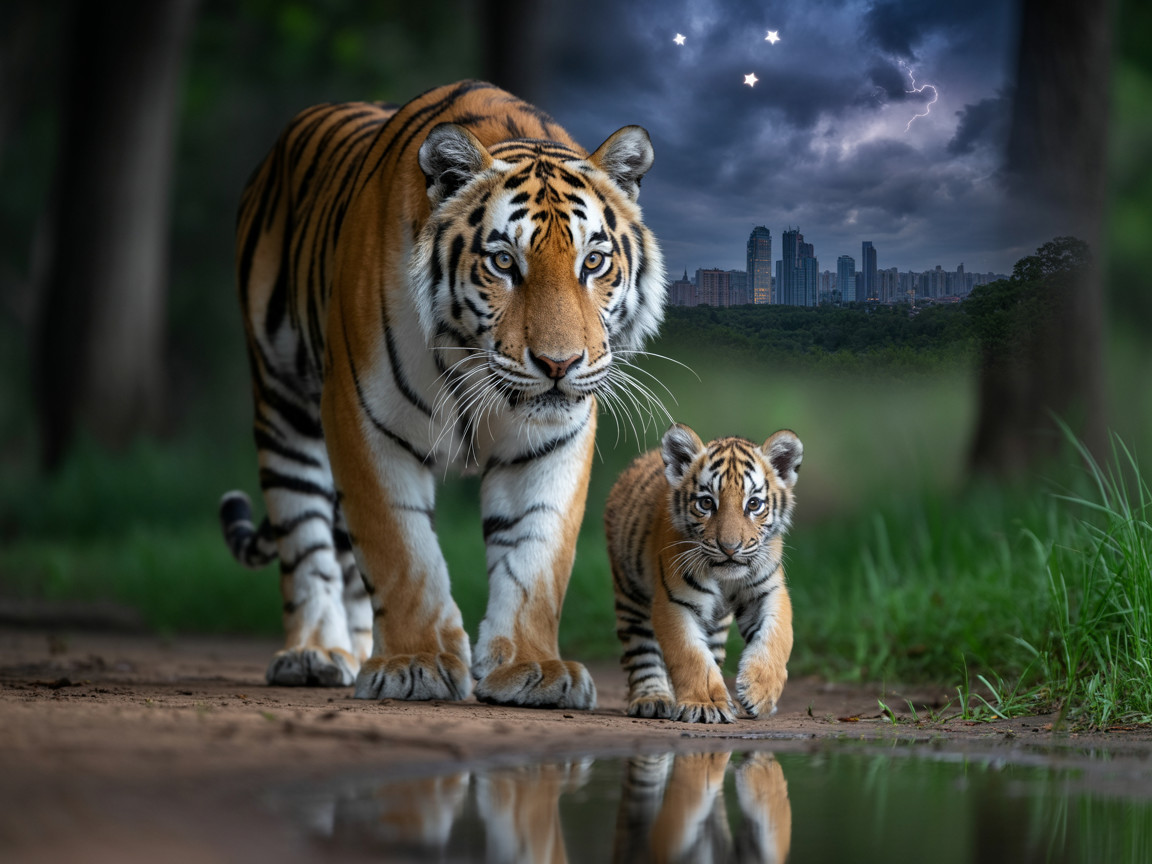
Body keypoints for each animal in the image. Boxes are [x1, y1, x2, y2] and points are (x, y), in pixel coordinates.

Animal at [217, 80, 666, 709]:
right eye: (503, 262)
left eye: (594, 262)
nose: (559, 364)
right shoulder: (363, 419)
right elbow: (400, 550)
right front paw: (416, 664)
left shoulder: (553, 439)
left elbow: (537, 557)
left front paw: (531, 668)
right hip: (283, 404)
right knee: (306, 538)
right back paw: (316, 653)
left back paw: (359, 651)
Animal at [605, 423, 803, 723]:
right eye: (707, 503)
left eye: (753, 504)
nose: (730, 548)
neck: (725, 578)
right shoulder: (675, 602)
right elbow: (690, 655)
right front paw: (705, 705)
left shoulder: (768, 591)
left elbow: (777, 638)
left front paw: (760, 692)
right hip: (630, 594)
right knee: (642, 651)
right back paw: (652, 699)